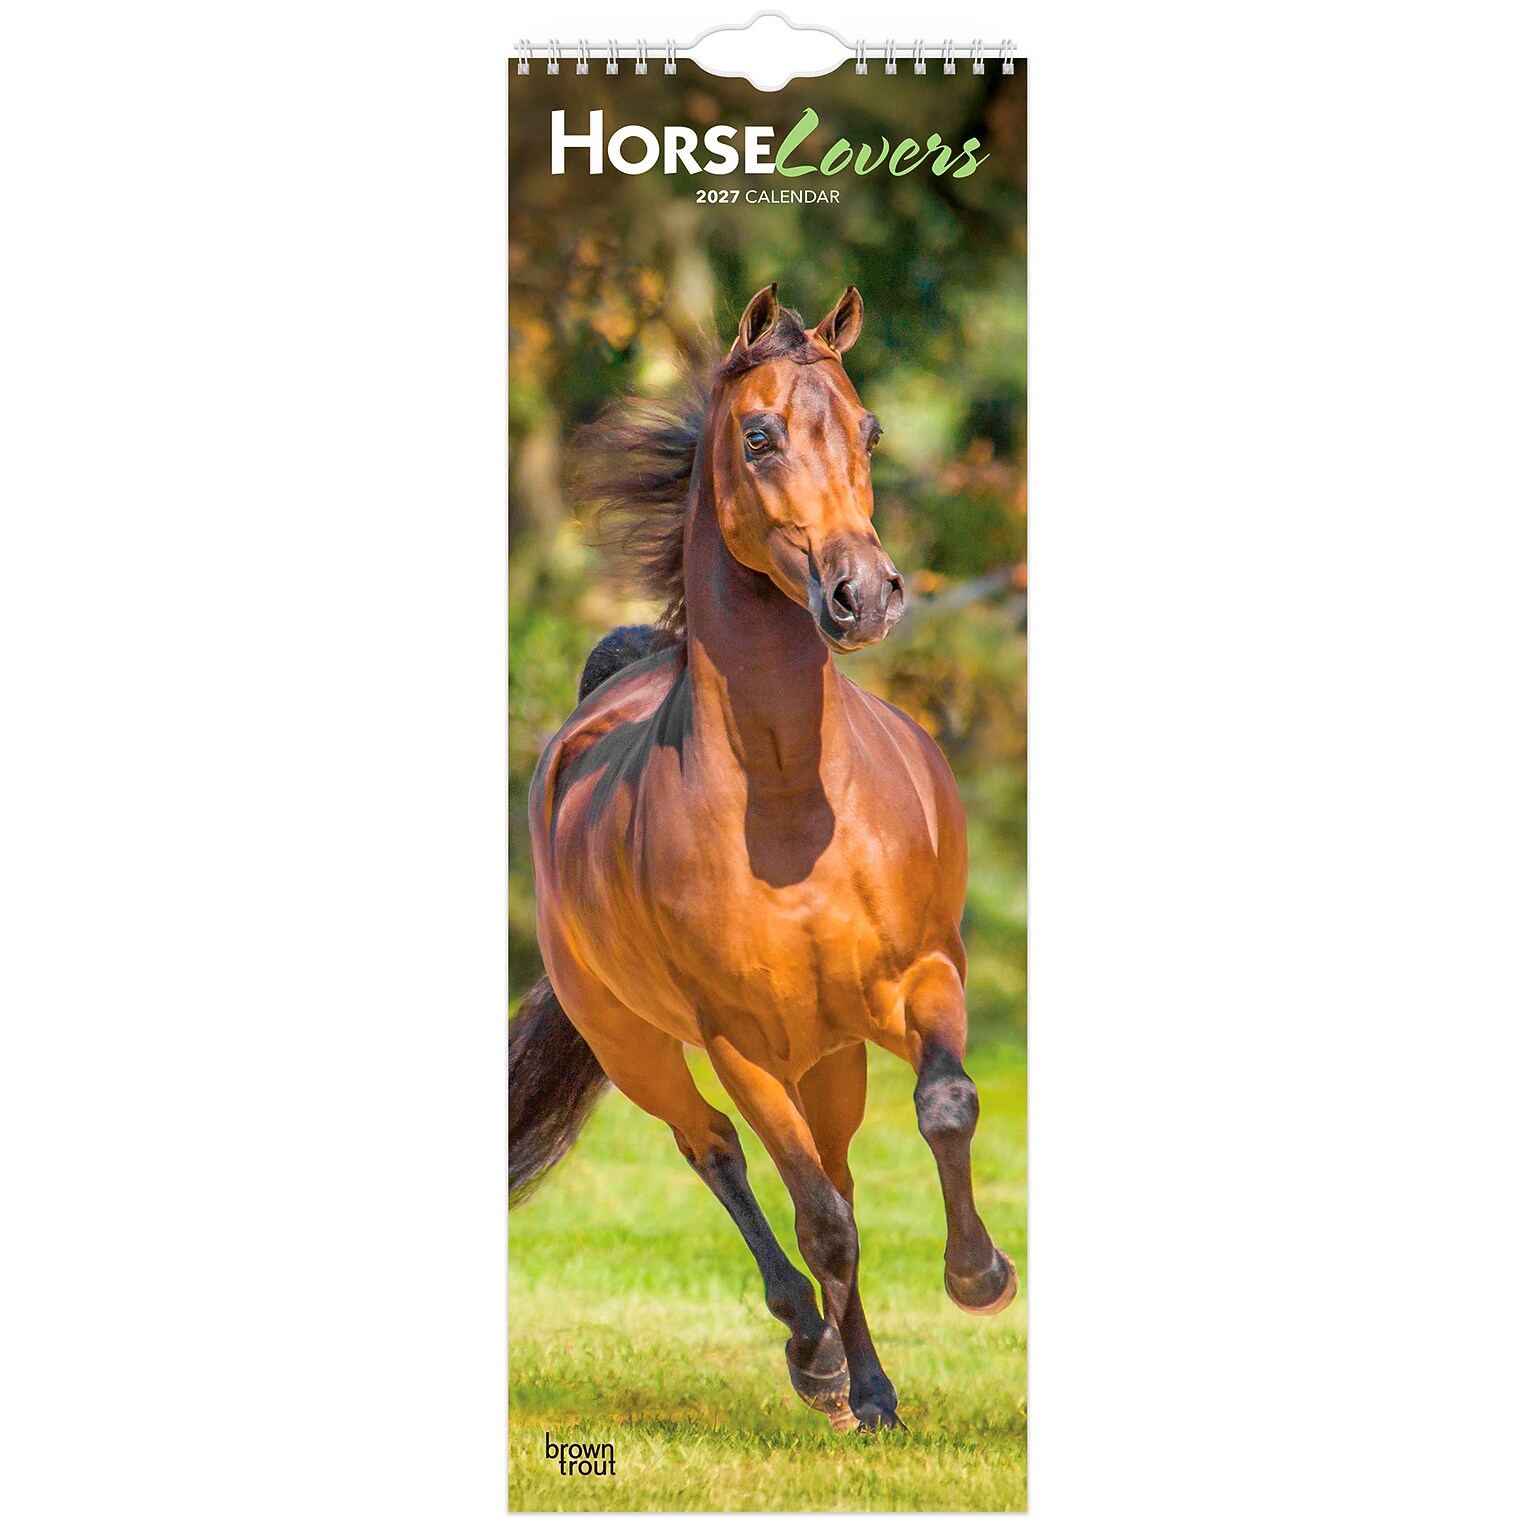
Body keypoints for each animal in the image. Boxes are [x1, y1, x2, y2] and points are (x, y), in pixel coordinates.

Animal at [509, 283, 1018, 1433]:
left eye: (870, 430)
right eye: (759, 435)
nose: (863, 593)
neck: (791, 808)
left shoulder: (925, 976)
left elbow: (945, 1108)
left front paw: (978, 1278)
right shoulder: (735, 1040)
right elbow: (816, 1217)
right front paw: (831, 1369)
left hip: (824, 1057)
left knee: (832, 1175)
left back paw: (869, 1385)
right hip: (640, 1046)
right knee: (722, 1156)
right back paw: (818, 1362)